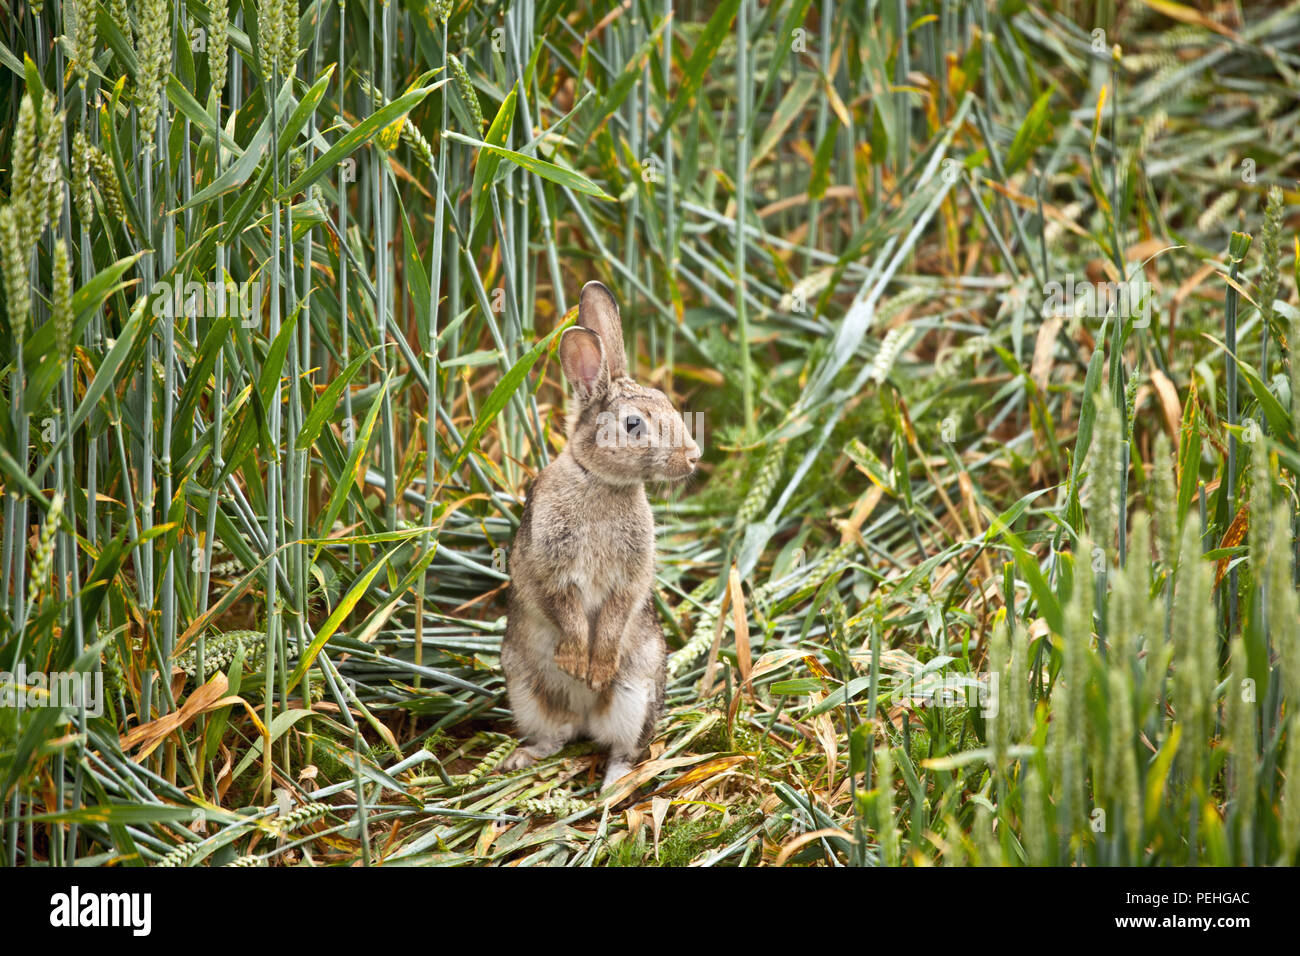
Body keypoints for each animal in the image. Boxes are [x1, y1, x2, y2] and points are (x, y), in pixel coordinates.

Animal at [496, 280, 702, 796]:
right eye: (633, 424)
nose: (692, 456)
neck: (600, 481)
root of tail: (588, 715)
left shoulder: (627, 579)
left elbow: (613, 614)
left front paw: (596, 666)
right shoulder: (551, 568)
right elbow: (565, 609)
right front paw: (576, 662)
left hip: (635, 692)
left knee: (625, 748)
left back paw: (612, 783)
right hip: (524, 686)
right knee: (557, 735)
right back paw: (521, 758)